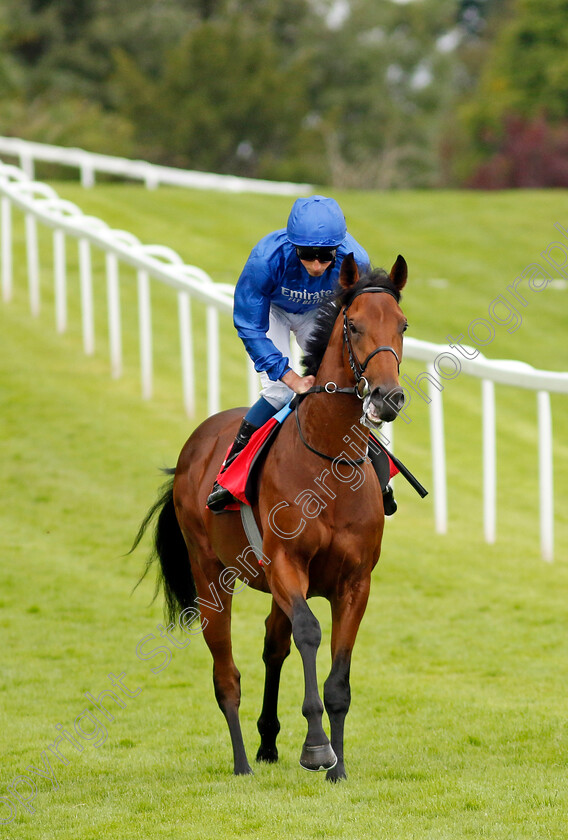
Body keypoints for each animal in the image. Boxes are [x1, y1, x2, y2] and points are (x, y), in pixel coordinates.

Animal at [133, 251, 408, 780]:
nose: (388, 396)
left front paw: (338, 767)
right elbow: (309, 633)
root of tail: (193, 447)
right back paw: (243, 761)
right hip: (210, 576)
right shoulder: (285, 564)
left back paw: (266, 743)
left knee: (272, 644)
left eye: (403, 325)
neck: (328, 463)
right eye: (355, 325)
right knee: (227, 674)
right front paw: (317, 748)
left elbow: (337, 676)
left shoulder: (356, 581)